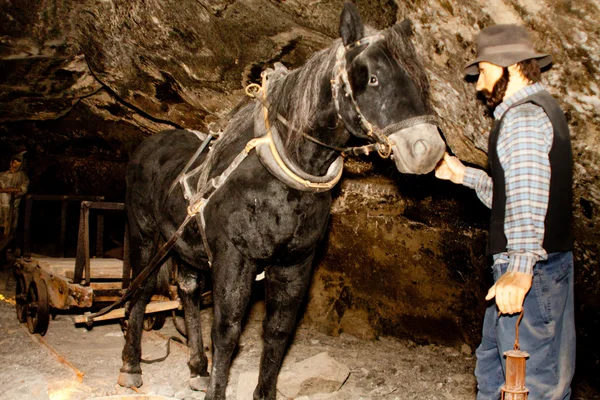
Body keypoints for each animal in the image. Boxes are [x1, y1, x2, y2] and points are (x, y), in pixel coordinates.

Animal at [118, 3, 446, 400]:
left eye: (420, 80)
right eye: (373, 79)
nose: (428, 149)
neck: (278, 178)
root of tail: (148, 145)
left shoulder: (295, 265)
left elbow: (277, 333)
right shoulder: (234, 259)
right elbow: (227, 332)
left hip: (186, 247)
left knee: (189, 293)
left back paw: (197, 367)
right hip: (146, 237)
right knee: (141, 290)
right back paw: (132, 365)